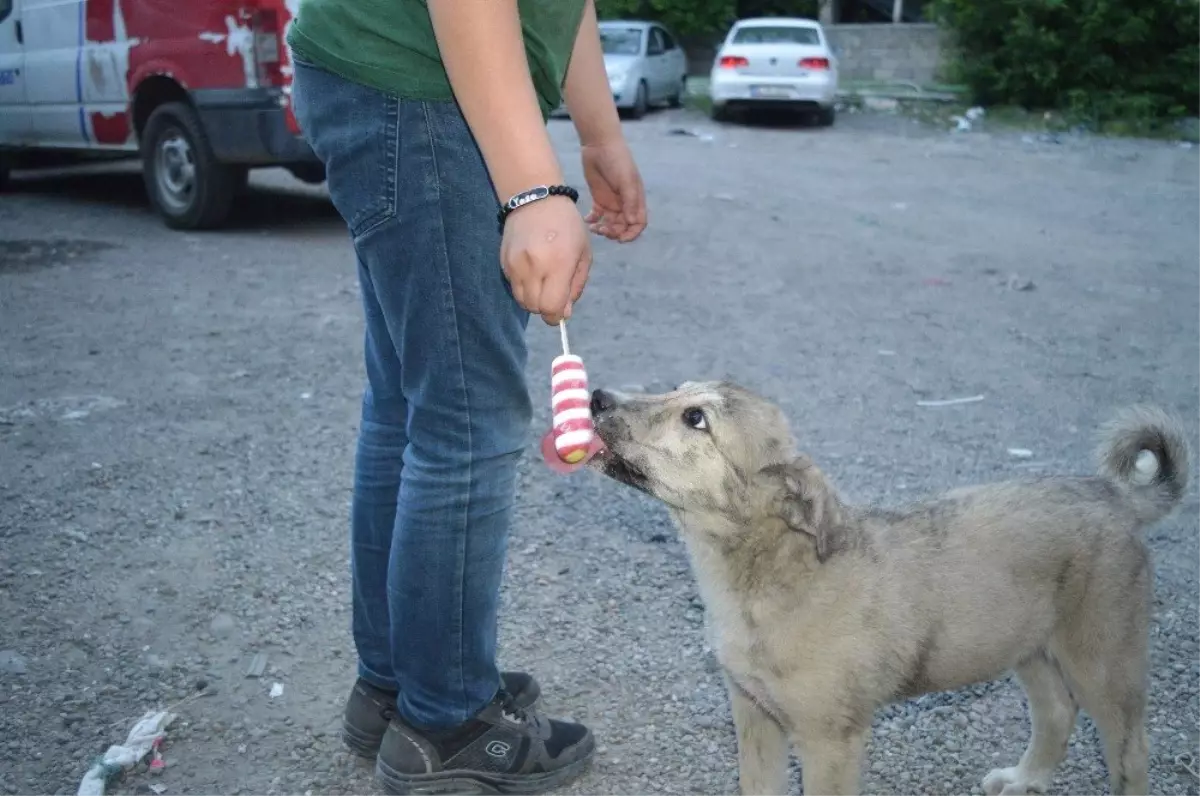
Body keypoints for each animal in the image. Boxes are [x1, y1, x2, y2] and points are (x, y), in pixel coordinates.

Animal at [585, 384, 1185, 792]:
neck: (775, 573)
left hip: (1104, 661)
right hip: (1029, 646)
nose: (597, 397)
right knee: (1057, 711)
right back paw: (1024, 779)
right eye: (678, 390)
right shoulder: (755, 716)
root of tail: (1114, 495)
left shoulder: (830, 740)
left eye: (695, 418)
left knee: (1132, 750)